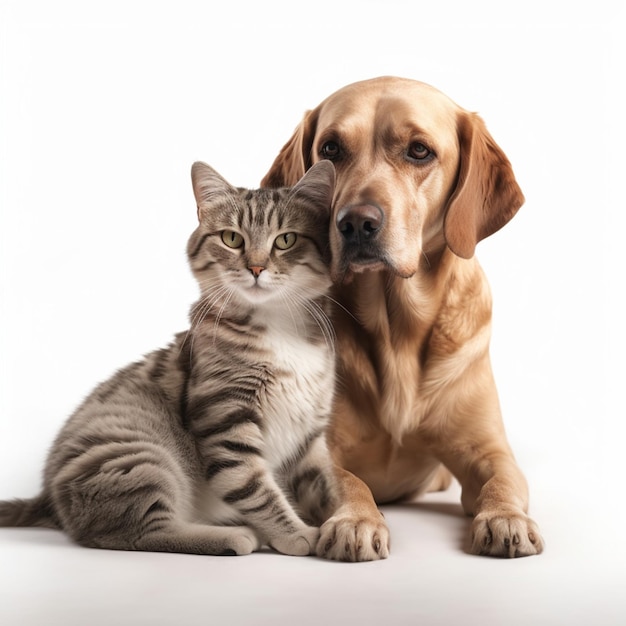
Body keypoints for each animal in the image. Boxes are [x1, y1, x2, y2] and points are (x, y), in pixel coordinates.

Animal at [0, 158, 338, 552]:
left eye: (286, 240)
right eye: (232, 238)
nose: (256, 268)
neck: (278, 325)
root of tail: (47, 497)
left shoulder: (310, 434)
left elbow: (329, 486)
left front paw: (351, 525)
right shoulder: (227, 425)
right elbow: (257, 490)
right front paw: (298, 534)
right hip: (140, 457)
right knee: (140, 532)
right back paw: (233, 535)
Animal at [260, 75, 540, 560]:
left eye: (419, 151)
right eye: (331, 148)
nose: (356, 222)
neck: (397, 333)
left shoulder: (489, 449)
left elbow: (503, 481)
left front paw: (506, 518)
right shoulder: (315, 453)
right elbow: (348, 482)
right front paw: (355, 522)